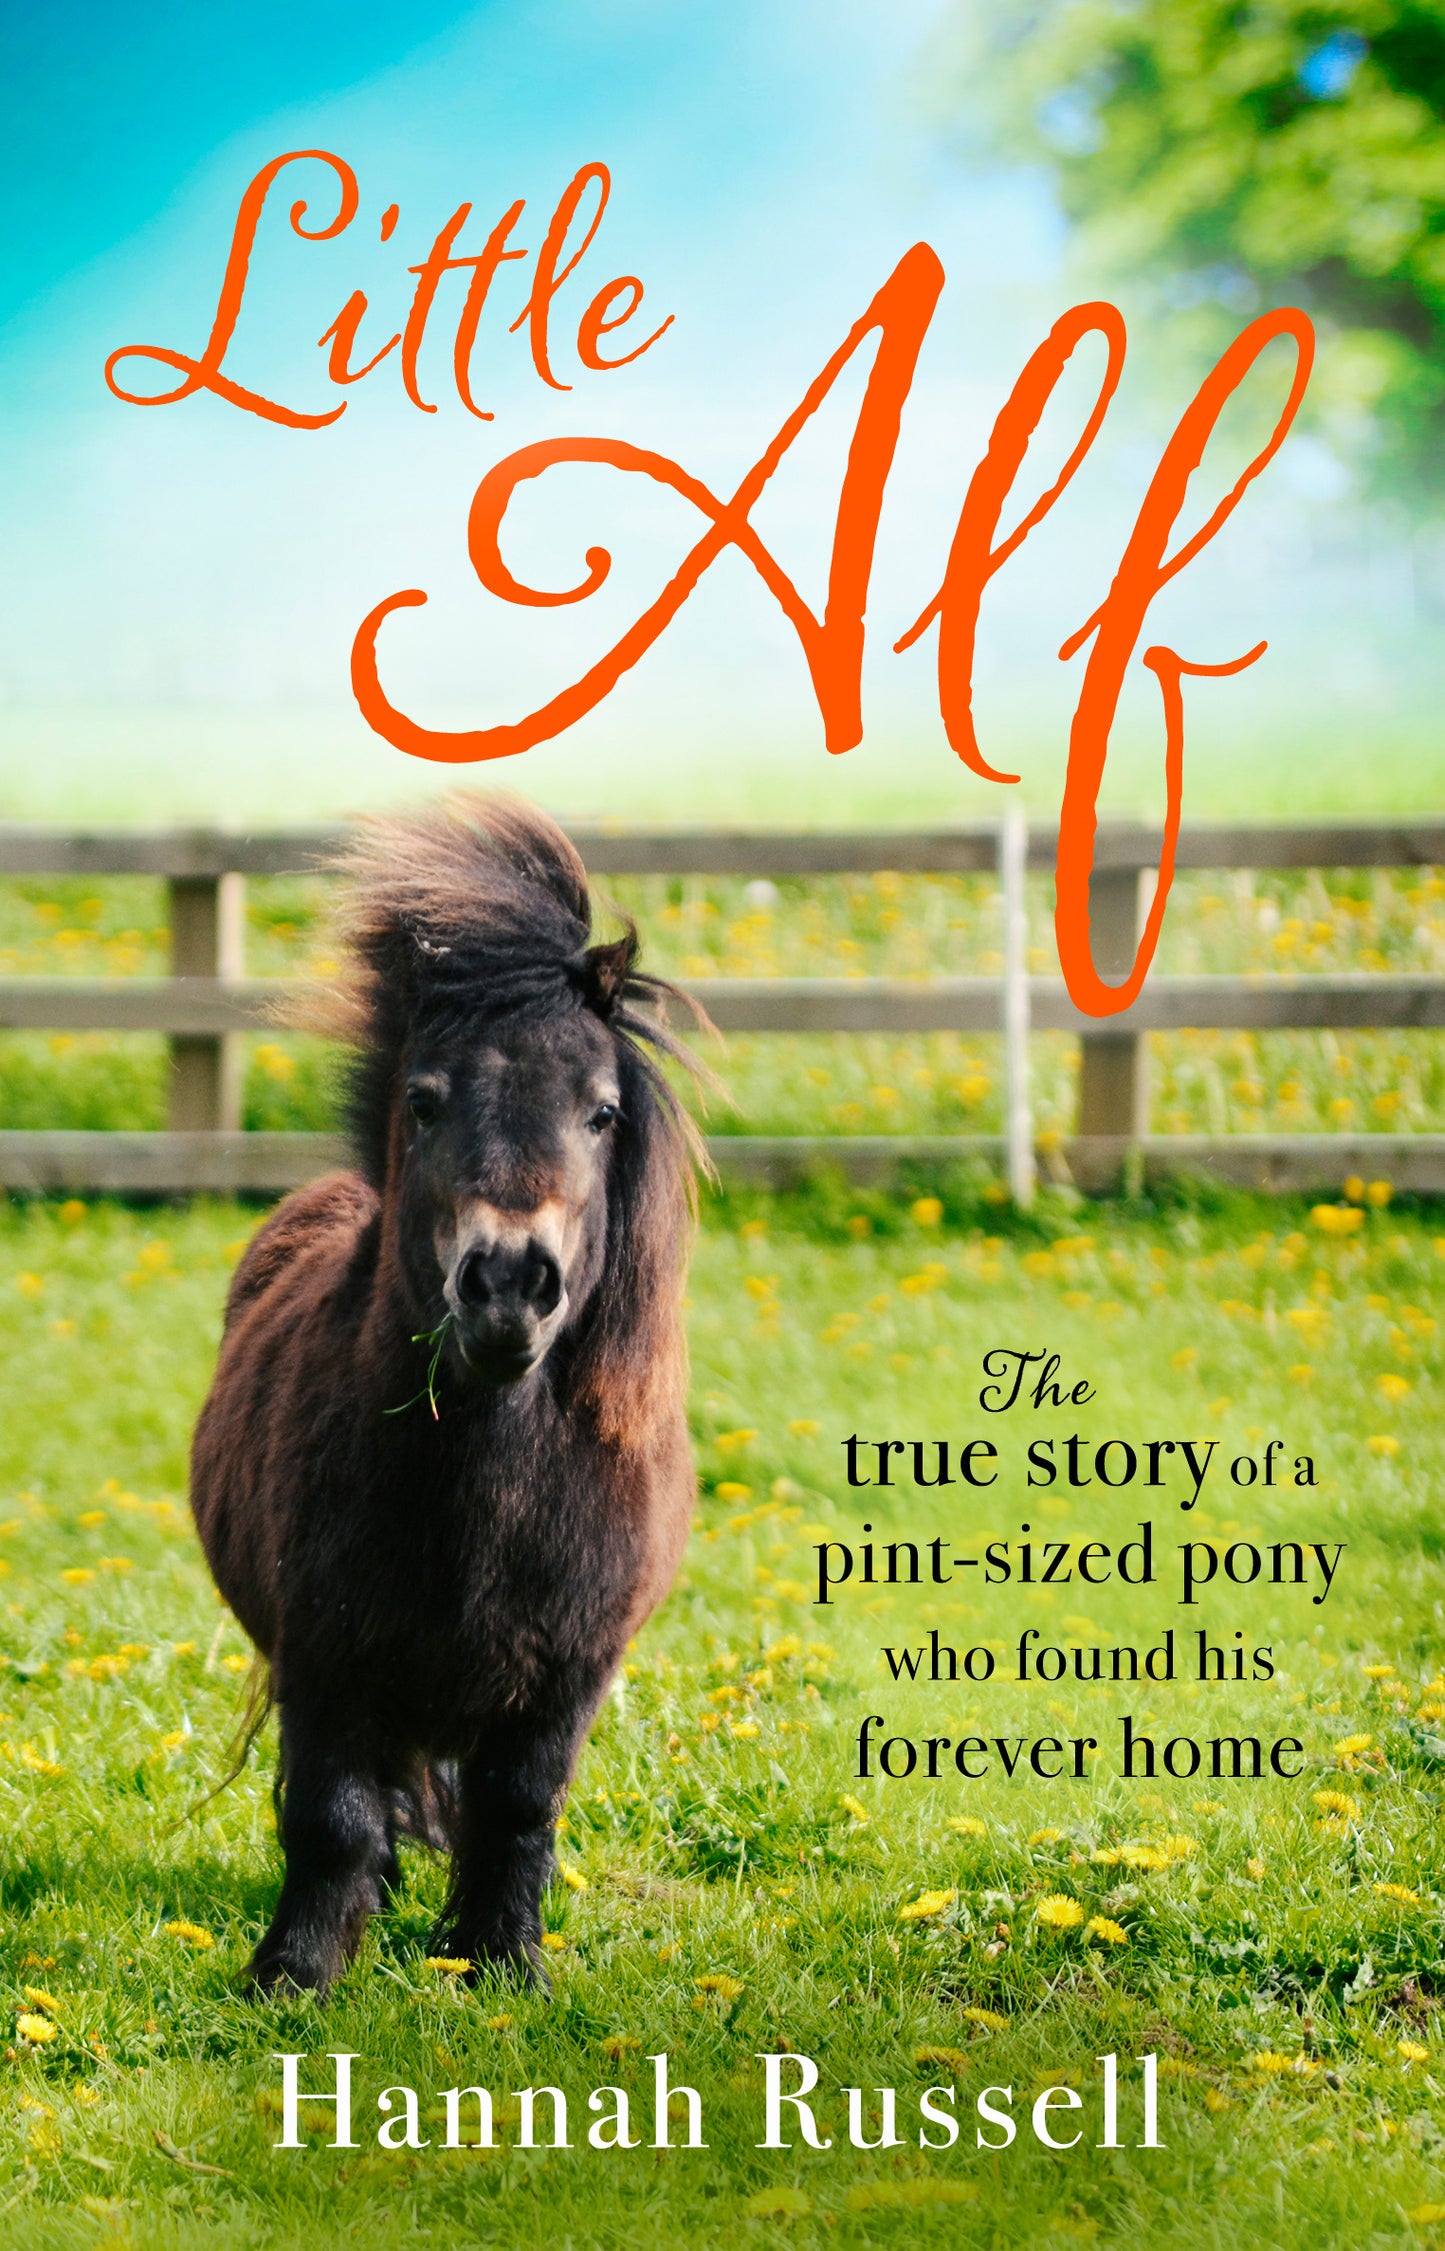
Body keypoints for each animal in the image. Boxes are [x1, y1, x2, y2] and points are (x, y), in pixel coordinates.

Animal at [190, 795, 706, 1994]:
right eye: (424, 1101)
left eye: (601, 1111)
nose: (509, 1280)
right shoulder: (323, 1660)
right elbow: (331, 1816)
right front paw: (295, 1975)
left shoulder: (570, 1672)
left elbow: (516, 1808)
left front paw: (499, 1964)